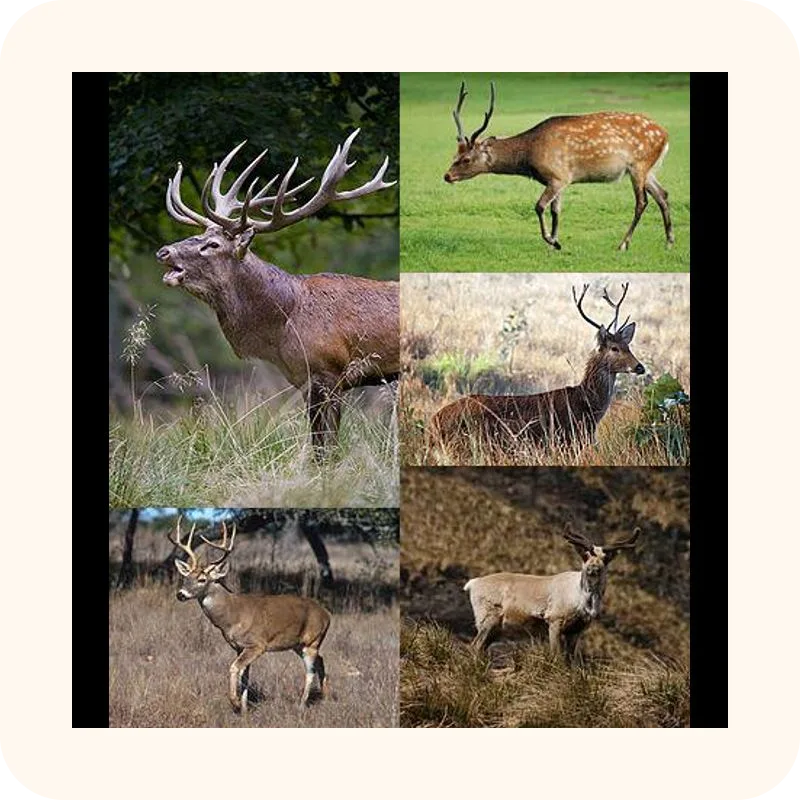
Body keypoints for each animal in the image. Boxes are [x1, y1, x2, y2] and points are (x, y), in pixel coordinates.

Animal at [155, 130, 399, 459]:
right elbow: (320, 444)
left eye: (213, 245)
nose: (163, 251)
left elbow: (327, 448)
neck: (283, 323)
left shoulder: (329, 371)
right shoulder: (305, 381)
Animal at [169, 517, 331, 713]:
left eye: (202, 579)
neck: (232, 616)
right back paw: (325, 697)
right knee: (321, 661)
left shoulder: (257, 644)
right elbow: (245, 676)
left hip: (312, 641)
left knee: (310, 671)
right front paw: (245, 709)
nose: (180, 594)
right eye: (186, 578)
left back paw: (301, 704)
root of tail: (327, 614)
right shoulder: (239, 647)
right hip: (299, 644)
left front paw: (235, 702)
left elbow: (234, 668)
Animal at [427, 282, 645, 461]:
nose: (639, 367)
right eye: (614, 348)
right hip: (464, 448)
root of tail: (433, 424)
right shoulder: (566, 443)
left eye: (628, 346)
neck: (586, 406)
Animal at [443, 81, 674, 251]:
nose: (447, 176)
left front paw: (552, 241)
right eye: (455, 154)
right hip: (648, 169)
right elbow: (556, 210)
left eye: (466, 159)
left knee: (642, 202)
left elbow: (539, 206)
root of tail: (665, 135)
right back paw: (669, 242)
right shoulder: (561, 180)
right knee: (663, 195)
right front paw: (554, 243)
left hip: (639, 165)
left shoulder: (558, 175)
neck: (530, 155)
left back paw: (623, 244)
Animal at [464, 523, 641, 663]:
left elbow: (570, 661)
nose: (593, 569)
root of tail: (472, 584)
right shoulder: (555, 620)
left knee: (481, 648)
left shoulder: (576, 630)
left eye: (606, 558)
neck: (581, 601)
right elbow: (557, 657)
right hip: (487, 618)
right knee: (475, 646)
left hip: (497, 628)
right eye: (585, 556)